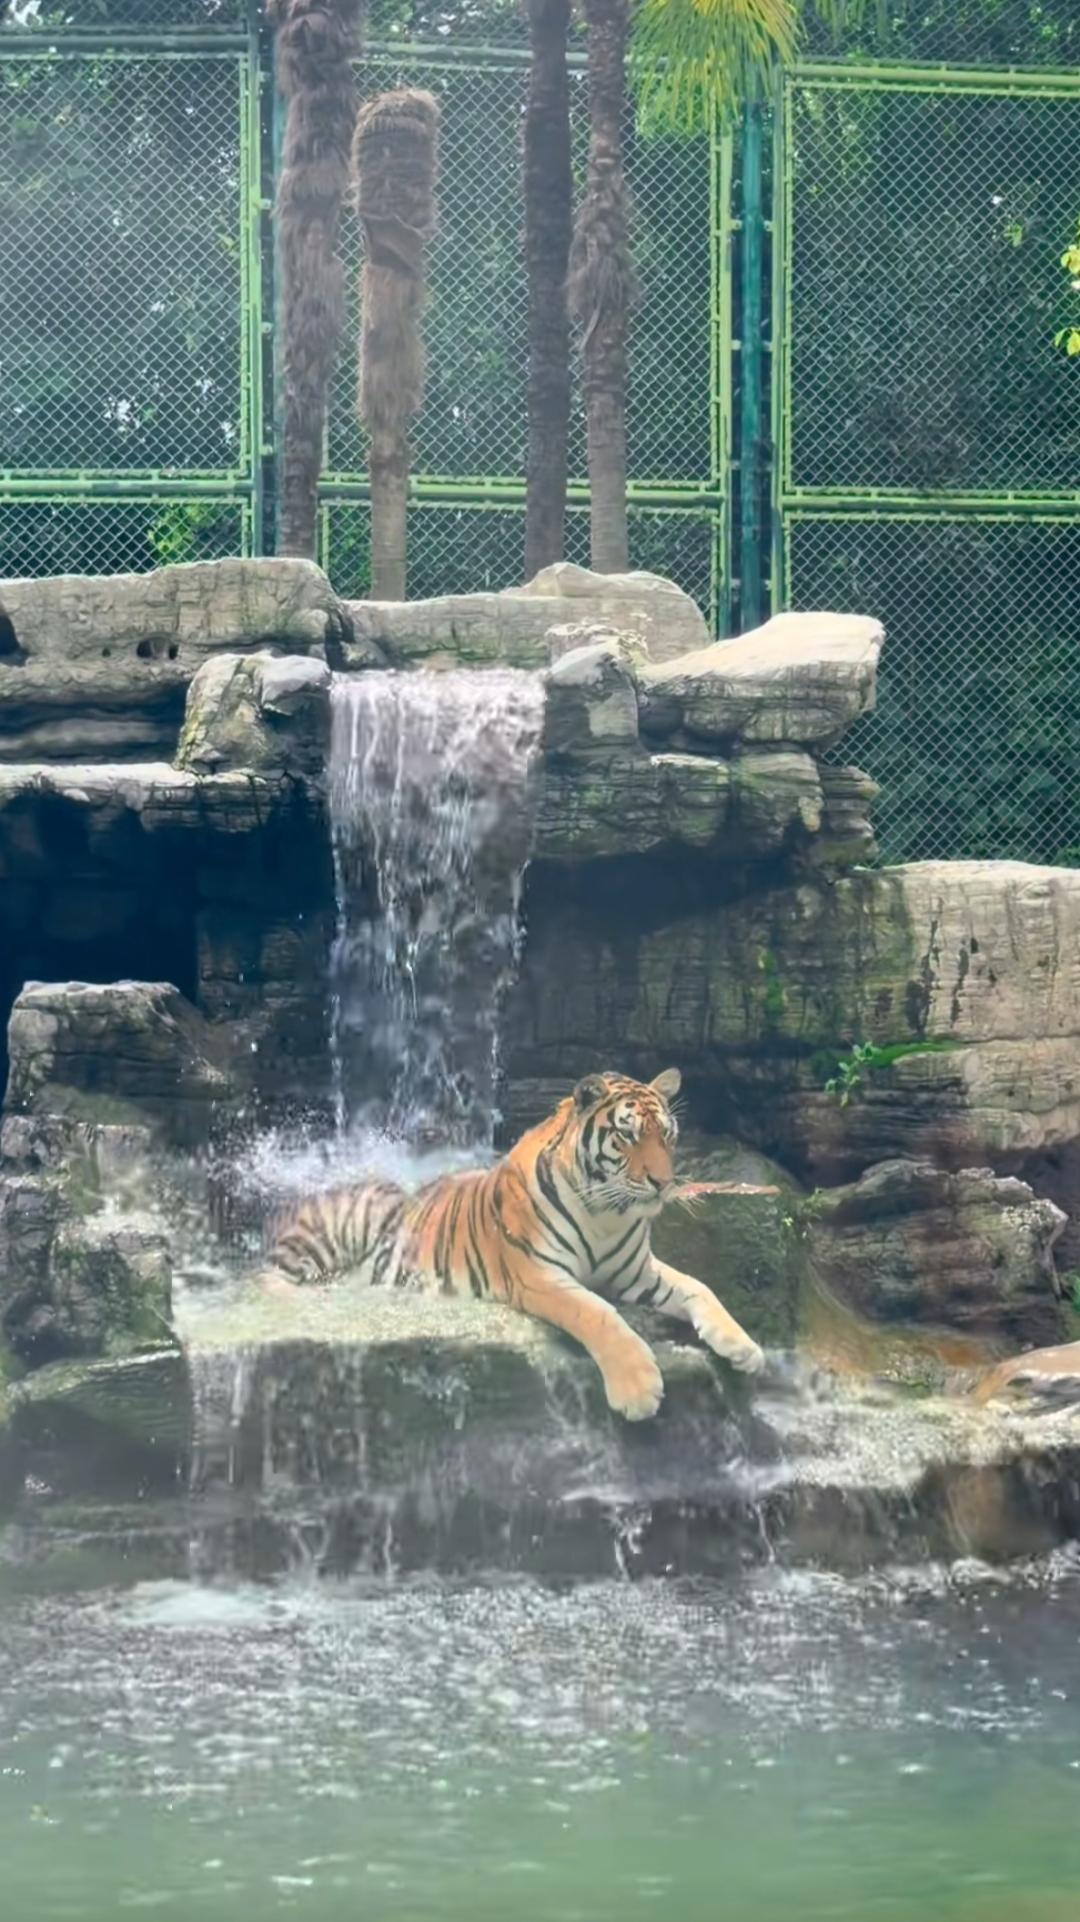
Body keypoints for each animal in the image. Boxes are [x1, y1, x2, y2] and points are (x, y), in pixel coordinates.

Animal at [258, 1068, 765, 1420]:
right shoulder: (539, 1276)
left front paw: (744, 1347)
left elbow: (701, 1288)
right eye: (627, 1135)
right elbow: (600, 1314)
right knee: (267, 1274)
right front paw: (638, 1390)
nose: (664, 1183)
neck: (607, 1215)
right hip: (346, 1222)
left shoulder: (637, 1272)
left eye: (669, 1136)